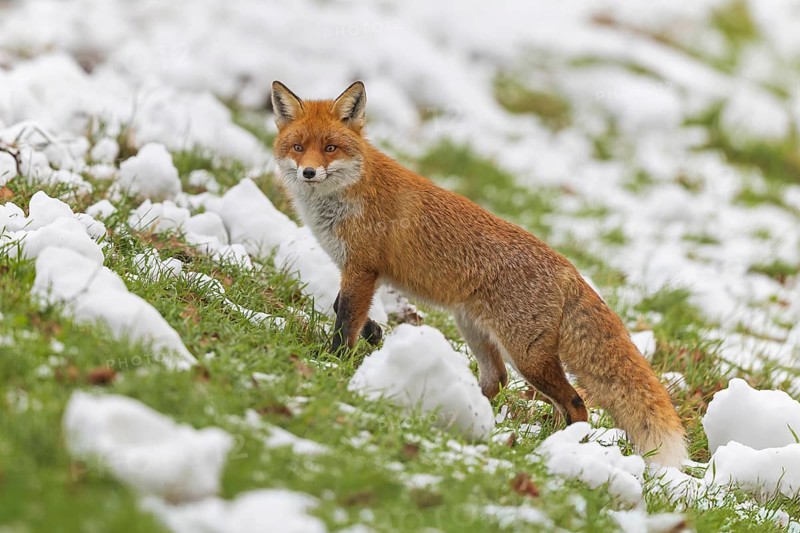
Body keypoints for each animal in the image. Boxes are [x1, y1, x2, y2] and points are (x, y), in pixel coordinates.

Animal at [271, 80, 687, 467]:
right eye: (298, 147)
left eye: (330, 148)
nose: (309, 172)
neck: (345, 198)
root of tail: (569, 268)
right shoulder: (356, 272)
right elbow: (344, 307)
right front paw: (372, 333)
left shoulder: (362, 268)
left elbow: (344, 319)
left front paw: (333, 362)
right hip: (474, 330)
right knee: (497, 380)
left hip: (527, 356)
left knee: (575, 401)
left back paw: (561, 446)